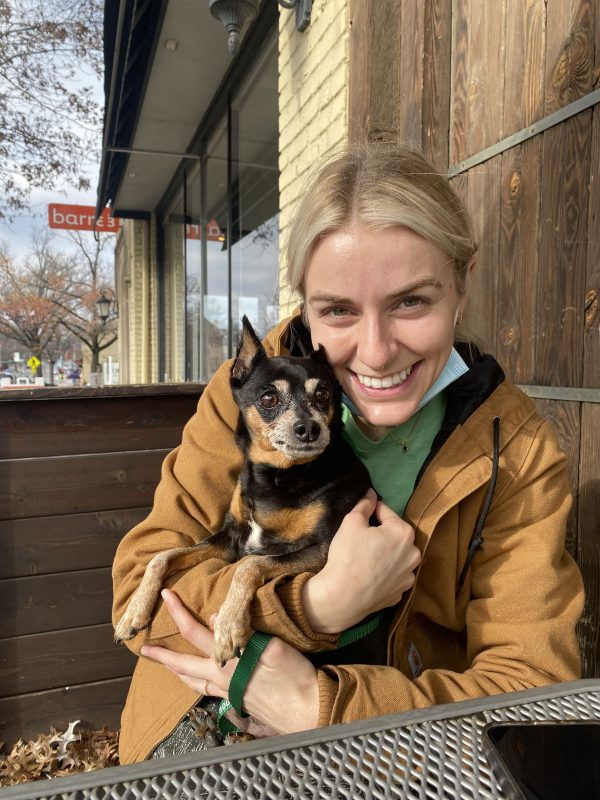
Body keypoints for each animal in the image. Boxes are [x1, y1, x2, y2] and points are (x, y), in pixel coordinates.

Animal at [113, 316, 370, 664]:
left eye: (323, 394)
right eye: (268, 399)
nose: (309, 428)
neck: (279, 476)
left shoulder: (321, 549)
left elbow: (251, 564)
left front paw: (228, 626)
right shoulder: (231, 538)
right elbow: (162, 556)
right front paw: (133, 612)